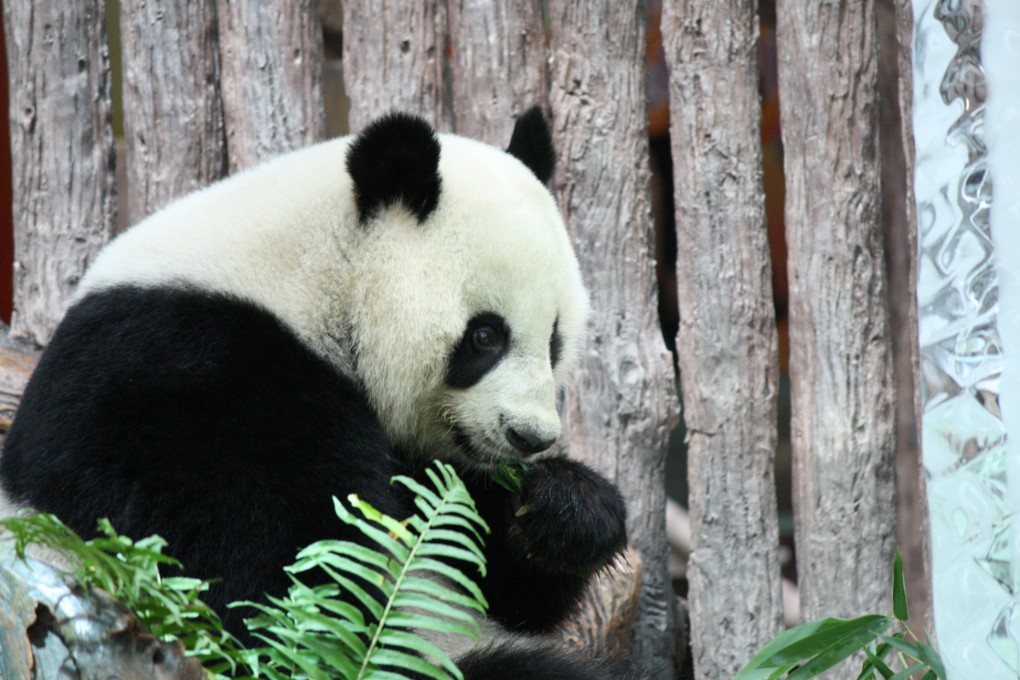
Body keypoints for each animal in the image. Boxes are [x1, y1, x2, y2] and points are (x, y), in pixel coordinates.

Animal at [0, 109, 629, 679]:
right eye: (485, 336)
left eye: (554, 339)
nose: (531, 436)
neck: (315, 275)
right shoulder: (186, 376)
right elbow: (274, 586)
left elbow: (487, 572)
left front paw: (565, 509)